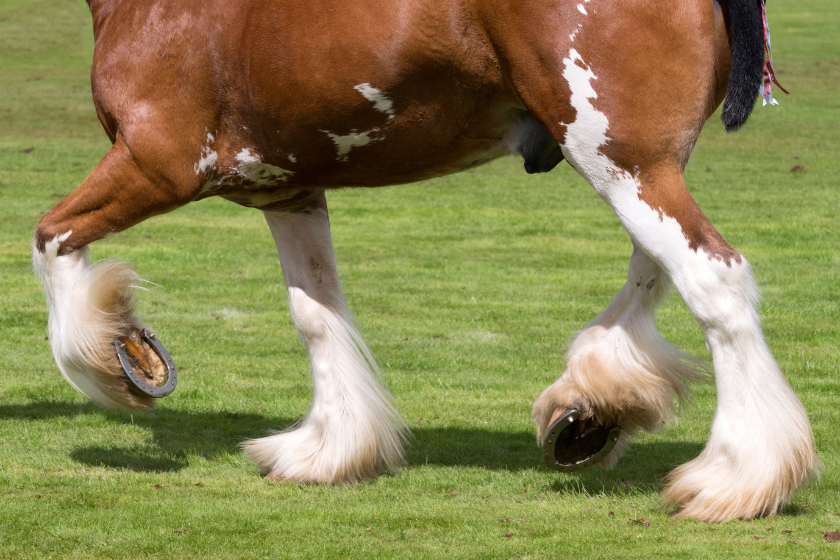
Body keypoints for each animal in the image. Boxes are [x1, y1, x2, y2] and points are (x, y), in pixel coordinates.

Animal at [33, 0, 819, 522]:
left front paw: (120, 361)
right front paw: (327, 451)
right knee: (655, 271)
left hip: (623, 161)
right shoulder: (288, 190)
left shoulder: (156, 166)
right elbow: (316, 317)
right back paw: (593, 406)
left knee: (712, 281)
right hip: (635, 164)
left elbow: (51, 242)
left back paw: (736, 479)